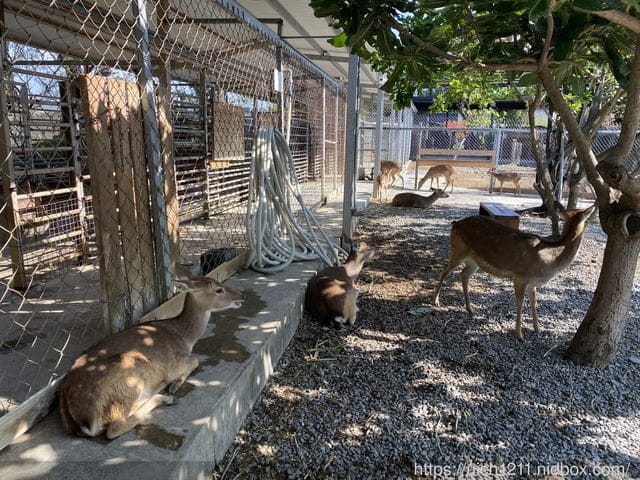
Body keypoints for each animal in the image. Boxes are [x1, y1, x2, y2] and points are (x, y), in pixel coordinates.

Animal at [59, 274, 244, 439]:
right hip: (129, 374)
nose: (241, 295)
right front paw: (174, 385)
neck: (184, 338)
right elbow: (195, 360)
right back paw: (165, 397)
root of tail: (84, 421)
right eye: (218, 289)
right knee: (115, 427)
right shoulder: (175, 364)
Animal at [432, 202, 595, 340]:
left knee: (463, 274)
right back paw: (436, 301)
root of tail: (455, 223)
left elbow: (534, 302)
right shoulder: (520, 276)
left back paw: (470, 309)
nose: (593, 216)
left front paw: (537, 329)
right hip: (458, 249)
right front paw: (519, 334)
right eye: (586, 219)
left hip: (474, 261)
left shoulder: (532, 283)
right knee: (444, 271)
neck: (550, 260)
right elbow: (520, 303)